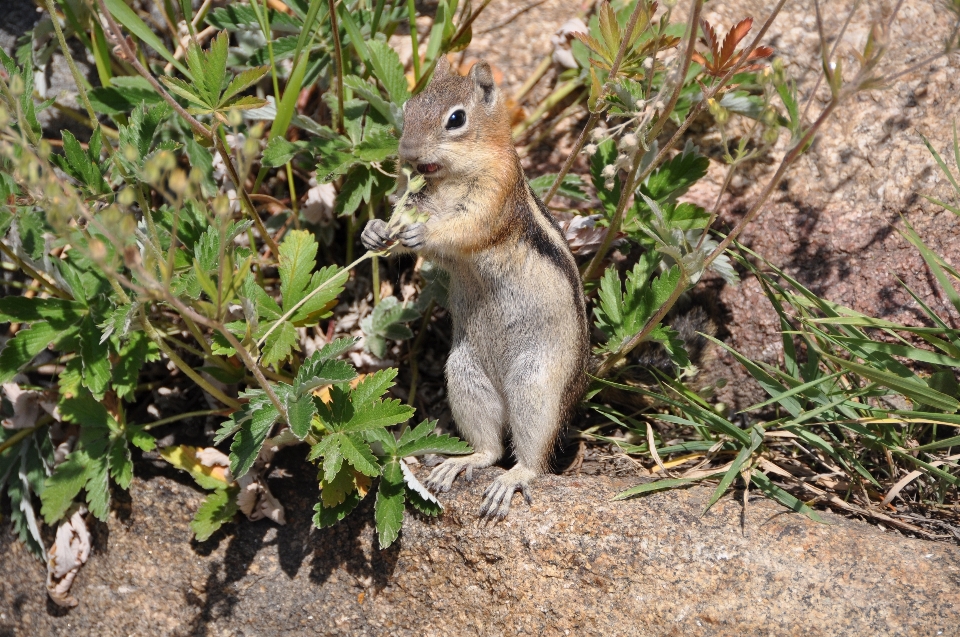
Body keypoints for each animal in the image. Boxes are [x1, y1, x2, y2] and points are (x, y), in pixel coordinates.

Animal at [360, 57, 588, 520]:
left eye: (456, 119)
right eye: (409, 106)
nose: (407, 153)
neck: (448, 179)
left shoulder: (493, 196)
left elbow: (462, 230)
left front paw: (421, 233)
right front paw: (376, 231)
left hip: (537, 385)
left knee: (531, 457)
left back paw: (511, 481)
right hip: (466, 377)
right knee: (491, 448)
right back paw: (459, 463)